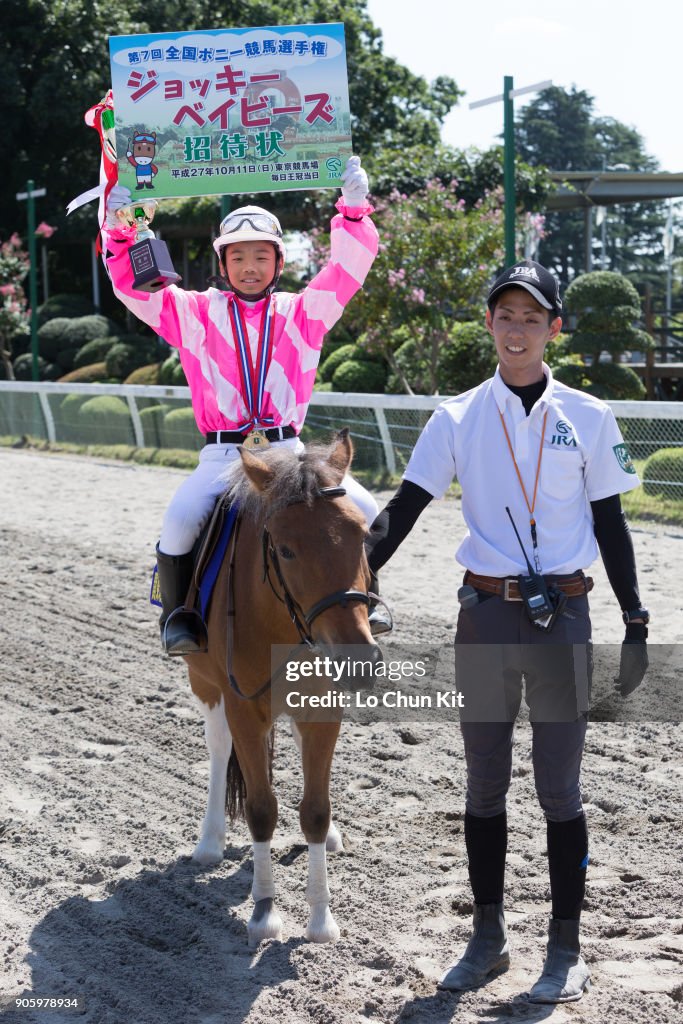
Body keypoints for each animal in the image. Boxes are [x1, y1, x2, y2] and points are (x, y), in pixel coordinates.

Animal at [184, 432, 382, 942]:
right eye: (287, 550)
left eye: (362, 537)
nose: (358, 659)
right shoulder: (243, 709)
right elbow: (261, 809)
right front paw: (265, 910)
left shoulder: (322, 706)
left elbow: (314, 809)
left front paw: (320, 918)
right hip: (205, 683)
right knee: (218, 749)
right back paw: (209, 840)